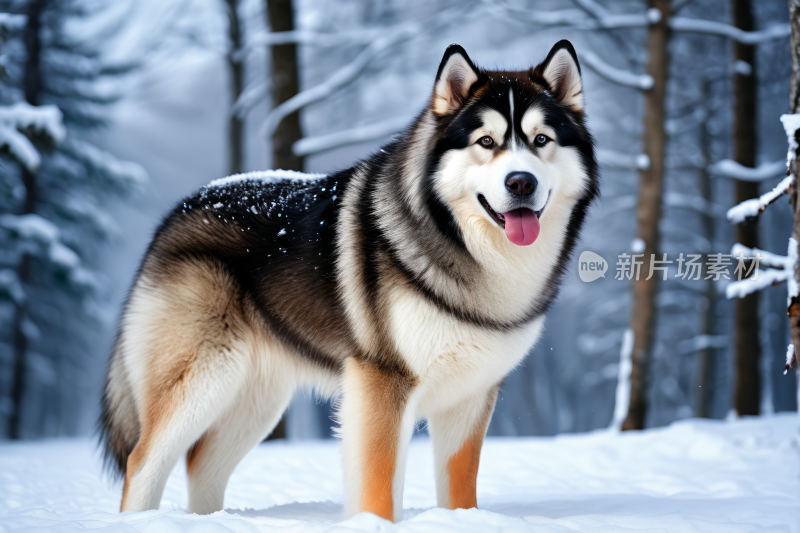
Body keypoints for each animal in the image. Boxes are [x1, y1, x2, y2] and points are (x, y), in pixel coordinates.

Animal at [98, 39, 600, 520]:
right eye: (487, 141)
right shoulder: (381, 382)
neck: (473, 256)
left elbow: (460, 490)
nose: (521, 182)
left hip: (256, 401)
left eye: (541, 139)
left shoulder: (471, 397)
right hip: (201, 381)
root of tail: (179, 211)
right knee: (142, 461)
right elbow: (377, 488)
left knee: (201, 464)